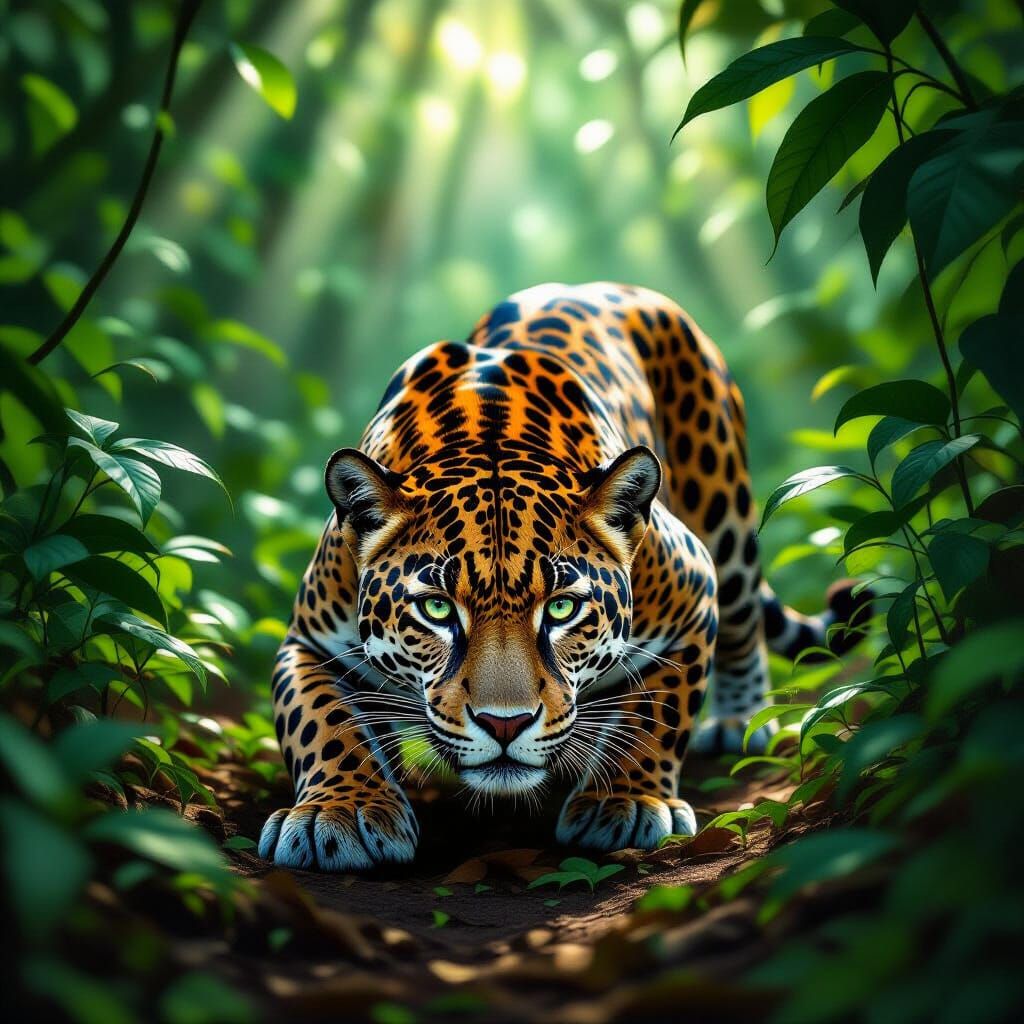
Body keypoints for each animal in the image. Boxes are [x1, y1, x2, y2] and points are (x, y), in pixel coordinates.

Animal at [258, 282, 869, 871]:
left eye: (561, 607)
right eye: (435, 608)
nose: (505, 725)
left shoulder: (694, 583)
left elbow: (658, 709)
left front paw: (627, 802)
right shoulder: (309, 642)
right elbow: (323, 722)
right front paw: (341, 812)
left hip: (722, 510)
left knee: (743, 617)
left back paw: (740, 719)